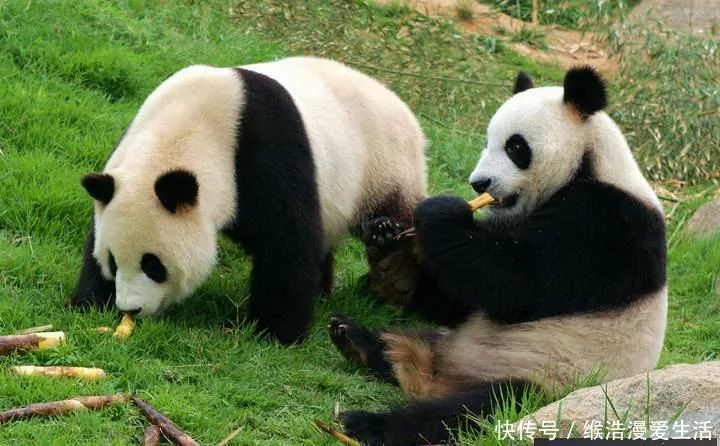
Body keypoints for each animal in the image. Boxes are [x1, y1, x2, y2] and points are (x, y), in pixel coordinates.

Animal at [66, 55, 428, 344]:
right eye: (113, 261)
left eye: (153, 264)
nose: (131, 307)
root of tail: (402, 105)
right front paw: (88, 301)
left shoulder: (266, 151)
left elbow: (287, 241)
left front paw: (275, 332)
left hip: (382, 164)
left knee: (399, 211)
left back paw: (388, 245)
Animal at [330, 64, 668, 444]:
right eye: (486, 142)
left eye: (516, 146)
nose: (479, 183)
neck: (588, 163)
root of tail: (436, 378)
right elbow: (464, 294)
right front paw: (391, 248)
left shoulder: (608, 226)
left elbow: (519, 285)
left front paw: (440, 213)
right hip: (455, 344)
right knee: (404, 343)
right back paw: (360, 337)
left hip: (542, 380)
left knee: (469, 411)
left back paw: (370, 424)